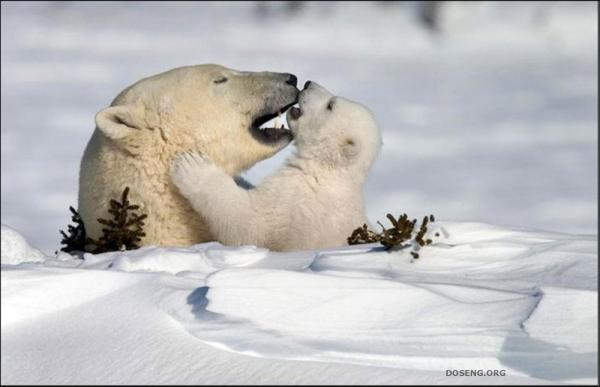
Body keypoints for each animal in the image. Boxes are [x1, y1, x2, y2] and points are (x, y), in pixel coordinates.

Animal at [171, 82, 382, 252]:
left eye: (331, 105)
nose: (307, 83)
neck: (326, 170)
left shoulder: (295, 202)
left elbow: (249, 224)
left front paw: (191, 165)